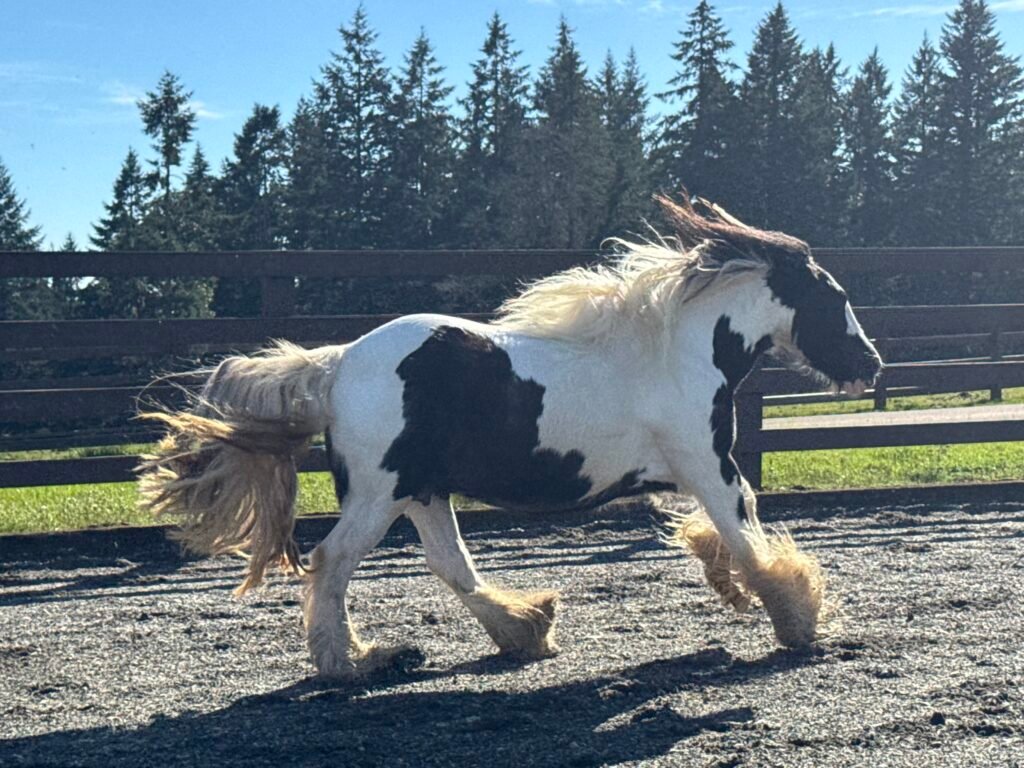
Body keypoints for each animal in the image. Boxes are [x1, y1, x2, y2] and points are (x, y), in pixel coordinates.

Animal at [138, 194, 882, 679]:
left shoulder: (686, 476)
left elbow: (721, 539)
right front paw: (799, 621)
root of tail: (340, 362)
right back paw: (349, 663)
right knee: (331, 562)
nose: (872, 365)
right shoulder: (710, 466)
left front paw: (740, 593)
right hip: (380, 496)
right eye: (837, 299)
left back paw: (525, 631)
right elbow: (749, 537)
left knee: (451, 566)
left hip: (423, 492)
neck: (676, 349)